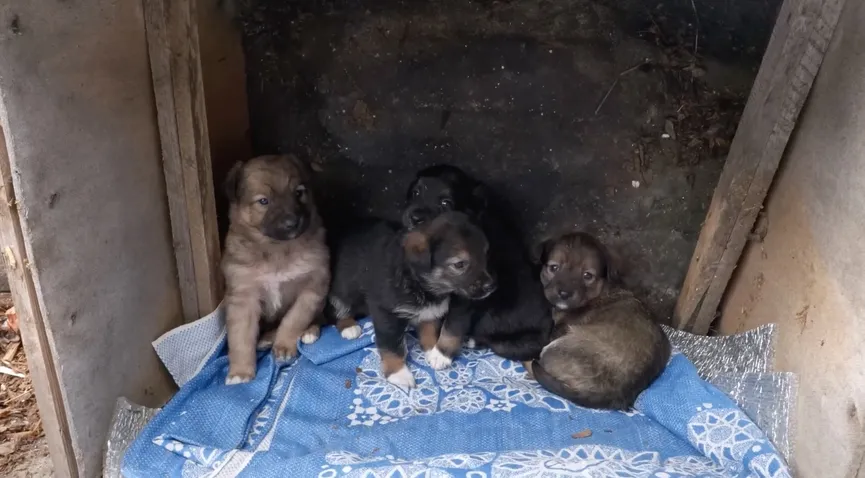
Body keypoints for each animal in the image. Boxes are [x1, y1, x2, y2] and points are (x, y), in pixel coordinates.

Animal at [221, 155, 330, 386]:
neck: (277, 249)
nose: (292, 223)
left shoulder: (313, 284)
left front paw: (285, 346)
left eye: (299, 192)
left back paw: (308, 331)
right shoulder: (243, 296)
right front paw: (240, 372)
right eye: (264, 201)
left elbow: (294, 318)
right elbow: (240, 337)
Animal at [328, 212, 496, 388]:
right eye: (459, 264)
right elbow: (391, 345)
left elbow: (431, 328)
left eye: (485, 254)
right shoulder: (386, 312)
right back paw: (348, 326)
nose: (491, 286)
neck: (418, 282)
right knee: (338, 305)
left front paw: (432, 348)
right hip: (342, 287)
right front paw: (398, 373)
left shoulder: (431, 310)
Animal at [402, 166, 552, 368]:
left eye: (445, 203)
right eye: (416, 193)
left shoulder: (469, 293)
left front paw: (441, 354)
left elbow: (453, 324)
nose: (415, 218)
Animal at [528, 232, 672, 410]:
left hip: (556, 348)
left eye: (587, 275)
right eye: (554, 268)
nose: (564, 294)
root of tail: (616, 393)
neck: (597, 292)